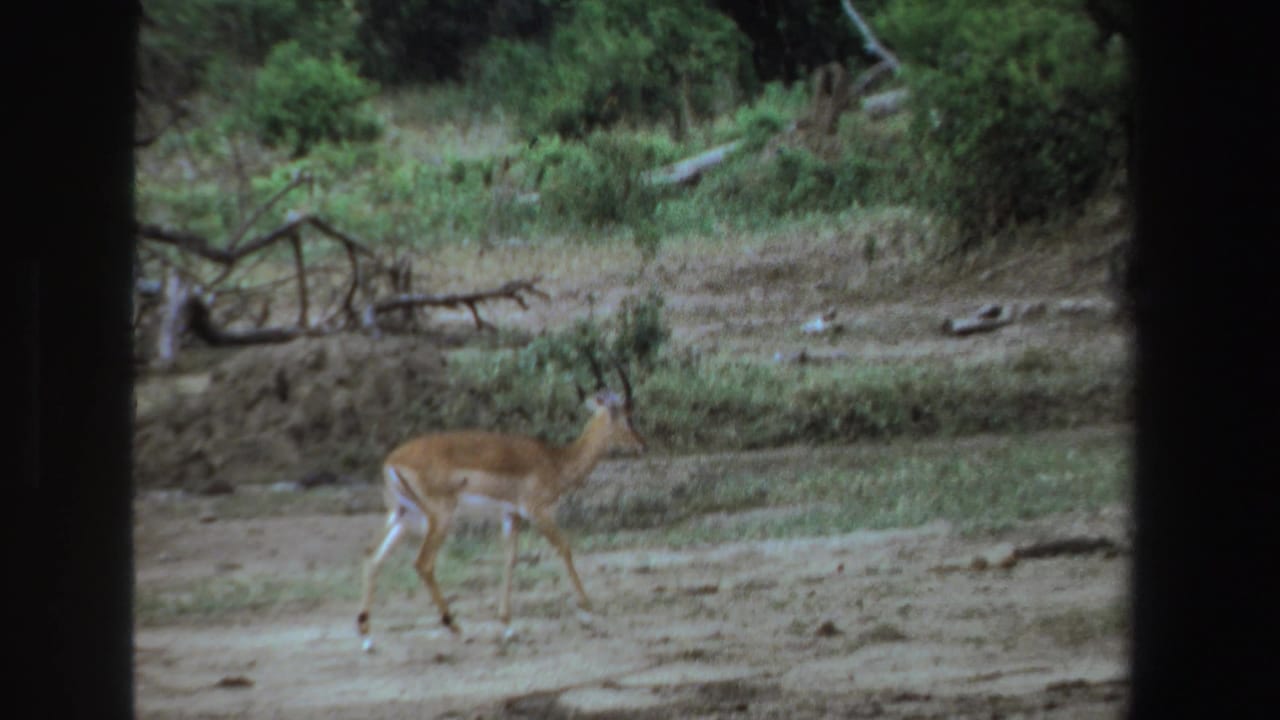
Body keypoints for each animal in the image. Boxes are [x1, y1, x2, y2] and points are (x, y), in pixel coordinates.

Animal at [356, 357, 645, 652]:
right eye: (628, 416)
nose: (642, 445)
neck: (556, 460)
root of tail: (392, 462)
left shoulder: (511, 515)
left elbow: (510, 559)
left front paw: (508, 627)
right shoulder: (538, 511)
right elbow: (564, 548)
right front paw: (588, 612)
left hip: (402, 516)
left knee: (372, 556)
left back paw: (368, 638)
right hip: (439, 517)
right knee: (422, 563)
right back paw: (457, 628)